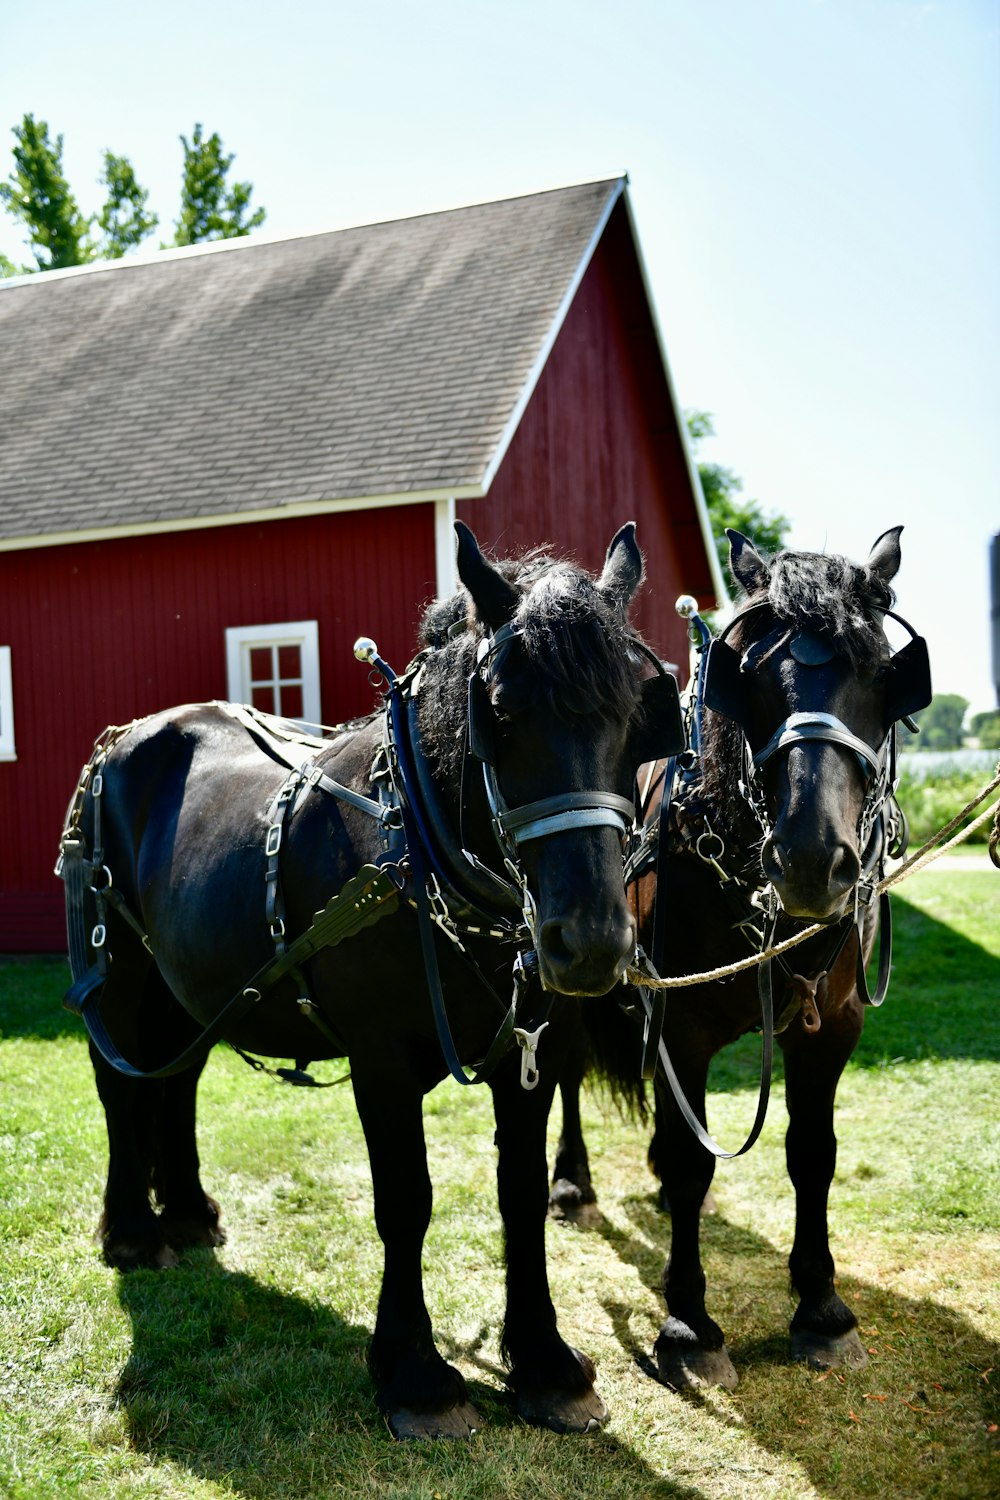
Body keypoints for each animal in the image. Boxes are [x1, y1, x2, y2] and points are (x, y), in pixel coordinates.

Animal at [58, 522, 683, 1434]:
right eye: (500, 711)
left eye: (638, 716)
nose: (594, 941)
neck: (419, 847)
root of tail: (121, 740)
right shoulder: (381, 1061)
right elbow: (407, 1201)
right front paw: (415, 1374)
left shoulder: (527, 1056)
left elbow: (521, 1195)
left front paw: (544, 1363)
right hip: (122, 964)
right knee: (119, 1083)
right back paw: (136, 1231)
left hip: (193, 978)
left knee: (179, 1079)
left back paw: (190, 1209)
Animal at [548, 531, 929, 1392]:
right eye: (751, 677)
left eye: (881, 675)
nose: (813, 859)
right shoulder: (679, 1027)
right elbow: (695, 1163)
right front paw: (689, 1325)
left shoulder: (832, 1027)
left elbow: (812, 1156)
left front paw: (821, 1308)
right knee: (565, 1070)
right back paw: (571, 1182)